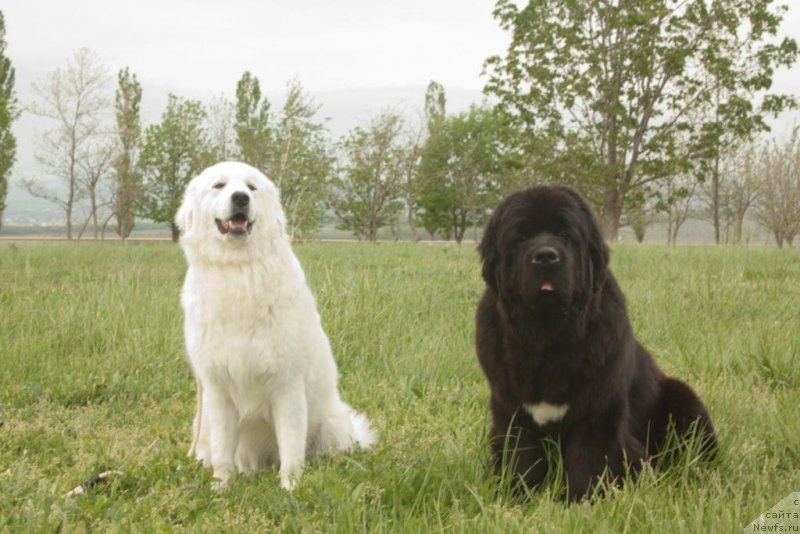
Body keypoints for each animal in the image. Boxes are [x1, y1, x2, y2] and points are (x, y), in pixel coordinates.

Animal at [176, 162, 376, 490]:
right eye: (219, 185)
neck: (238, 271)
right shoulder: (217, 390)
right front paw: (221, 486)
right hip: (201, 426)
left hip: (332, 425)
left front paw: (290, 488)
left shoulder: (286, 385)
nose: (240, 198)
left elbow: (291, 447)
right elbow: (222, 447)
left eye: (251, 187)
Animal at [476, 185, 720, 502]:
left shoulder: (598, 412)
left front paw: (582, 501)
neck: (547, 336)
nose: (546, 256)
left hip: (682, 397)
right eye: (521, 237)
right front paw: (518, 498)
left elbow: (590, 459)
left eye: (566, 235)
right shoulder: (511, 412)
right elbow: (521, 458)